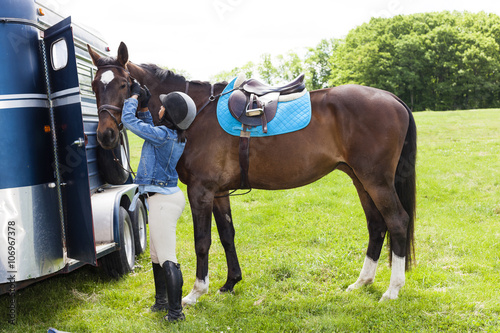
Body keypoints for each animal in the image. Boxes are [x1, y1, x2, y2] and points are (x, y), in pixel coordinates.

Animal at [88, 42, 416, 304]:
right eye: (93, 85)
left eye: (124, 85)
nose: (105, 135)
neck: (195, 113)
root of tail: (391, 98)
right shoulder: (219, 192)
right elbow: (227, 236)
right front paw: (230, 283)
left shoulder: (201, 191)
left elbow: (202, 241)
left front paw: (196, 292)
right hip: (360, 179)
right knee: (376, 224)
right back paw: (362, 281)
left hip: (376, 181)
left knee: (397, 222)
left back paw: (393, 290)